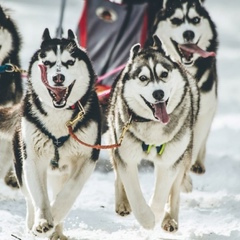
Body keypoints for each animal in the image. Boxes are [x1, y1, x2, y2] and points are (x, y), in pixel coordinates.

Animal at [0, 29, 101, 239]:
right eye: (47, 63)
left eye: (70, 62)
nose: (58, 78)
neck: (59, 118)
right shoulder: (32, 160)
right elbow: (39, 195)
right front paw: (43, 221)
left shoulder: (87, 159)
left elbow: (68, 192)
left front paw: (55, 215)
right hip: (21, 163)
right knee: (29, 198)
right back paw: (32, 225)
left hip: (60, 172)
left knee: (59, 191)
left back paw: (58, 231)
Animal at [108, 36, 200, 232]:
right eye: (143, 78)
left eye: (164, 74)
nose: (158, 93)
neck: (152, 125)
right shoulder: (126, 157)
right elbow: (134, 192)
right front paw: (146, 219)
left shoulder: (170, 161)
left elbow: (161, 195)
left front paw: (156, 215)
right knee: (118, 176)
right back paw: (122, 203)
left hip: (184, 154)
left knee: (175, 191)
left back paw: (170, 218)